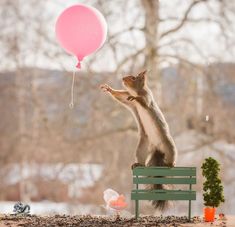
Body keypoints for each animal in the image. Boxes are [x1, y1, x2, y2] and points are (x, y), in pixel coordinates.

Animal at [100, 70, 177, 210]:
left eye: (133, 78)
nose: (123, 78)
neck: (135, 92)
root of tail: (157, 148)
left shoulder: (147, 97)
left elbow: (143, 102)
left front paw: (137, 98)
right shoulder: (127, 97)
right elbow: (120, 96)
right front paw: (109, 89)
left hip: (167, 145)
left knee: (172, 153)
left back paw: (171, 163)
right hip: (143, 146)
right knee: (142, 158)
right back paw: (138, 164)